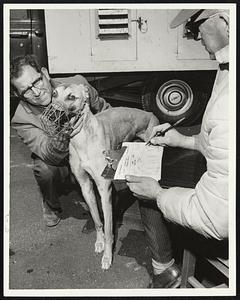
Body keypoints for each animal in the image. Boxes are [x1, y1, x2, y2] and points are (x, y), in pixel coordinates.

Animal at [50, 82, 159, 270]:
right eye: (54, 94)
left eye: (71, 96)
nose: (52, 114)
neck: (83, 138)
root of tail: (150, 113)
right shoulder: (85, 186)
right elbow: (97, 220)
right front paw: (99, 242)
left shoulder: (104, 188)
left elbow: (109, 229)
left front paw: (108, 256)